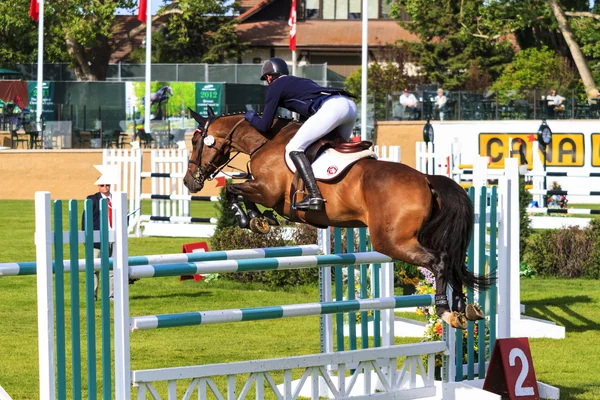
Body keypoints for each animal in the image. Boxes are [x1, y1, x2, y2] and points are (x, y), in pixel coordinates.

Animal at [185, 106, 490, 328]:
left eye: (196, 140)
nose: (190, 182)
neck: (266, 141)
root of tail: (427, 179)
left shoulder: (268, 191)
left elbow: (233, 190)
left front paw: (249, 219)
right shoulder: (263, 190)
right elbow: (239, 190)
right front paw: (259, 219)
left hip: (392, 241)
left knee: (440, 261)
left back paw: (445, 311)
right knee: (452, 260)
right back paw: (464, 308)